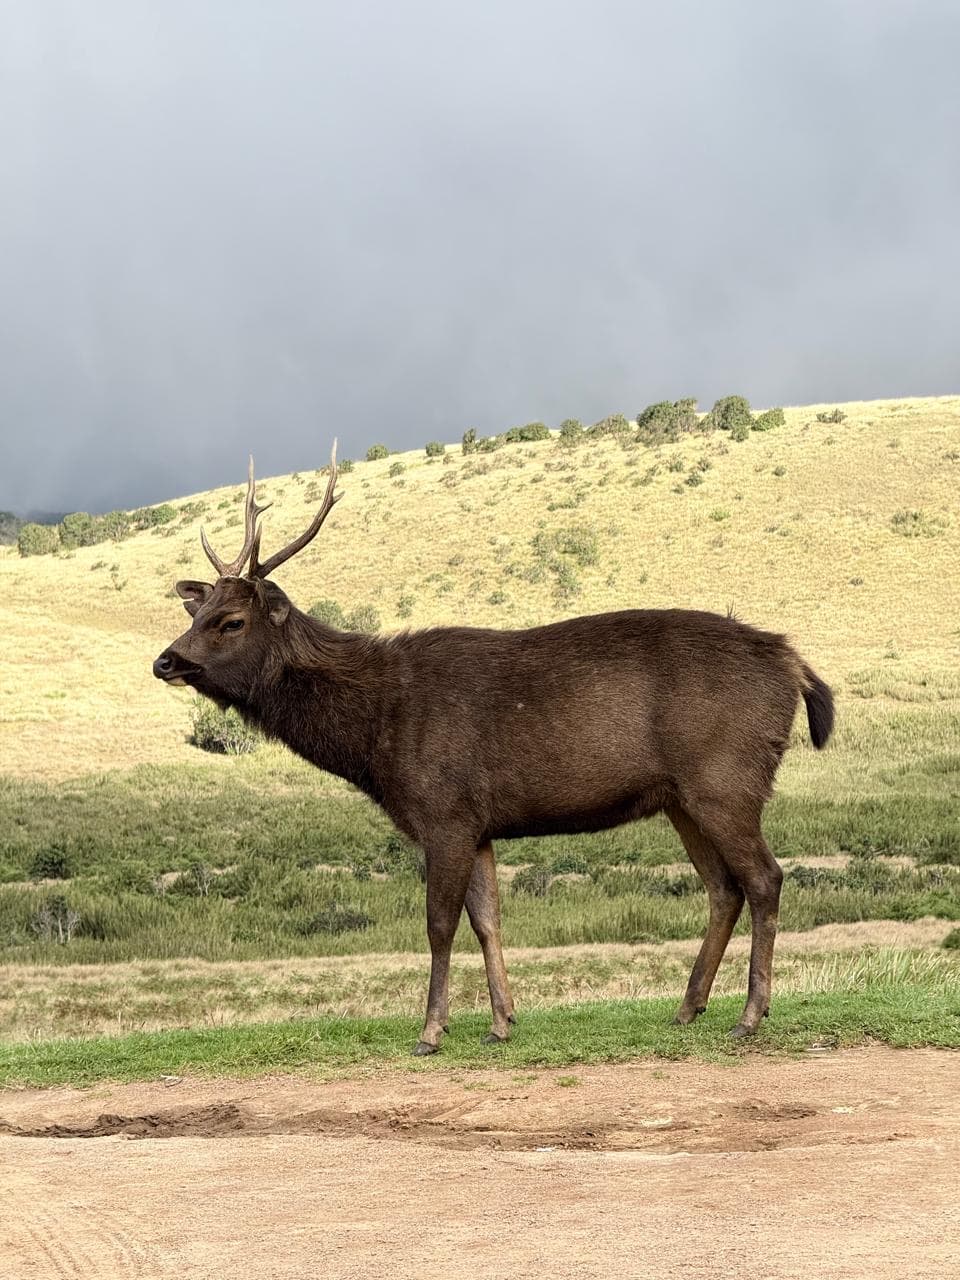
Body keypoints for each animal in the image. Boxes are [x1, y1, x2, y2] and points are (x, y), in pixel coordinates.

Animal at [153, 444, 834, 1054]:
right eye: (197, 611)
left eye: (232, 621)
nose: (166, 661)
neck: (374, 738)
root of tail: (794, 665)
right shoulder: (479, 824)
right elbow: (487, 920)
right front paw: (502, 1021)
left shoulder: (444, 811)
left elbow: (439, 923)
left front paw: (431, 1031)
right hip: (682, 798)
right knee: (723, 888)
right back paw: (689, 1007)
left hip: (727, 776)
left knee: (765, 877)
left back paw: (750, 1015)